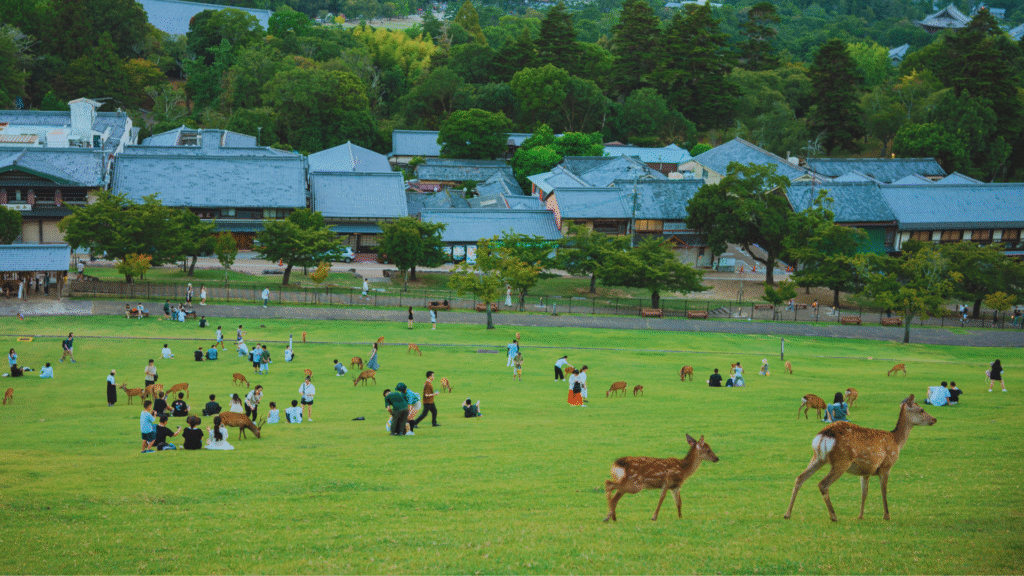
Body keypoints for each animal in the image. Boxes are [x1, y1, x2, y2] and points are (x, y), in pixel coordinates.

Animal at [784, 394, 936, 522]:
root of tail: (823, 435)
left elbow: (864, 493)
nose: (934, 419)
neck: (897, 442)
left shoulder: (866, 471)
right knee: (823, 484)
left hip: (818, 457)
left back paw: (787, 513)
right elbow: (884, 491)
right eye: (921, 409)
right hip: (842, 460)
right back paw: (833, 516)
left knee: (800, 478)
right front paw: (887, 516)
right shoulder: (886, 465)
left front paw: (860, 516)